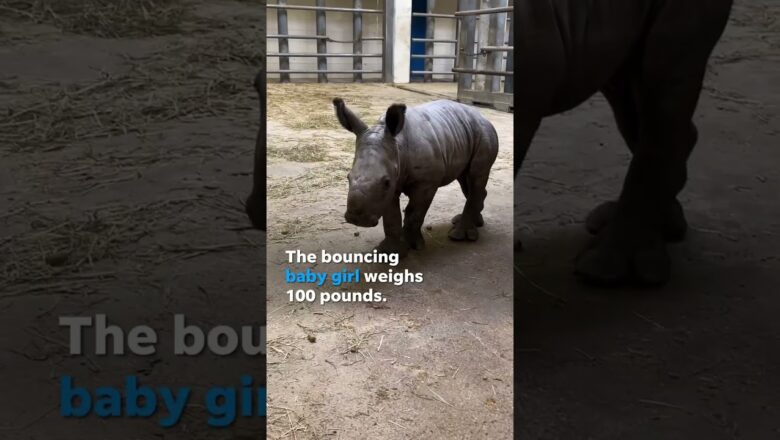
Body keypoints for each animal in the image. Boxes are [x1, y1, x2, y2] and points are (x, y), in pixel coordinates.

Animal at [332, 96, 496, 254]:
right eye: (348, 177)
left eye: (386, 182)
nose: (357, 219)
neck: (397, 145)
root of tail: (482, 116)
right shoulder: (393, 182)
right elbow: (391, 216)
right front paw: (389, 252)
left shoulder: (425, 183)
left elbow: (414, 213)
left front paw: (413, 245)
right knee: (465, 180)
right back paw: (473, 222)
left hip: (484, 134)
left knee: (476, 176)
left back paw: (459, 236)